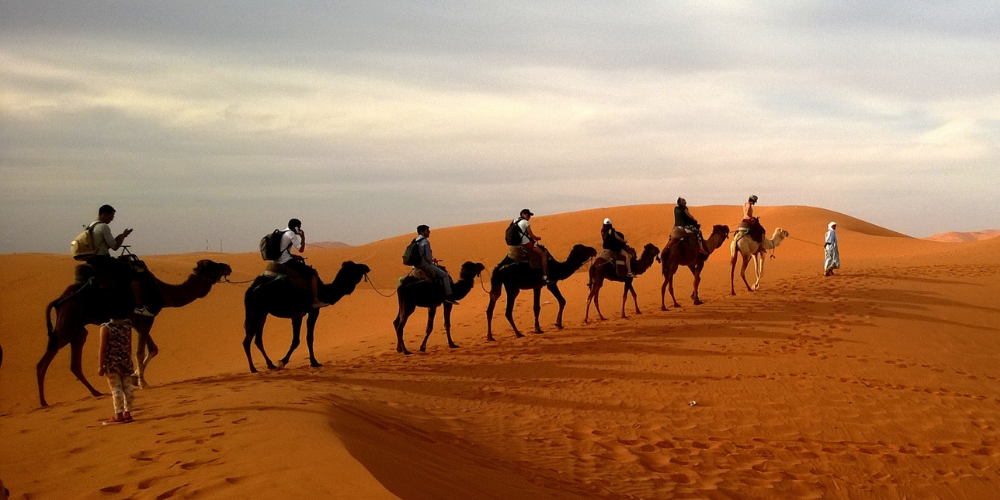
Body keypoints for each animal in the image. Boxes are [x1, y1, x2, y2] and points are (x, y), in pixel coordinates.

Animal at [37, 260, 232, 408]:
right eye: (213, 265)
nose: (228, 266)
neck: (162, 292)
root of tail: (60, 299)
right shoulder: (145, 319)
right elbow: (139, 351)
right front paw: (143, 383)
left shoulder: (140, 322)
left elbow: (153, 349)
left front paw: (134, 379)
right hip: (68, 322)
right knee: (45, 359)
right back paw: (43, 401)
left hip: (77, 329)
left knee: (74, 362)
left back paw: (95, 392)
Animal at [242, 262, 372, 372]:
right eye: (355, 268)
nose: (366, 267)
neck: (323, 291)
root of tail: (250, 290)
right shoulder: (310, 311)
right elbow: (304, 338)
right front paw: (310, 362)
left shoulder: (298, 314)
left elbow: (300, 339)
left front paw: (284, 362)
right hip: (258, 312)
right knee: (248, 340)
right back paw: (254, 368)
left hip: (260, 314)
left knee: (256, 339)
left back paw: (269, 365)